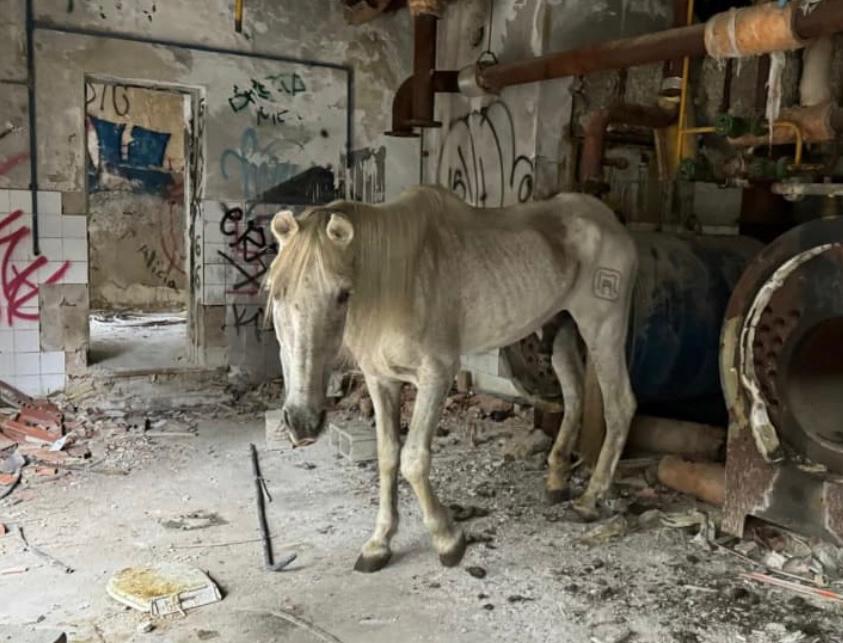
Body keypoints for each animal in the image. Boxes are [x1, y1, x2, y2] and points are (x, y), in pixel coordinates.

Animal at [265, 184, 637, 572]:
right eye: (275, 291)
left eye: (342, 294)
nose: (302, 422)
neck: (396, 282)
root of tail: (610, 220)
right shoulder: (381, 380)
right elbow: (387, 457)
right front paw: (379, 543)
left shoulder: (436, 376)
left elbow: (414, 459)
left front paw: (447, 539)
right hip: (561, 326)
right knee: (575, 394)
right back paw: (556, 481)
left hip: (603, 328)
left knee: (619, 406)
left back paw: (589, 501)